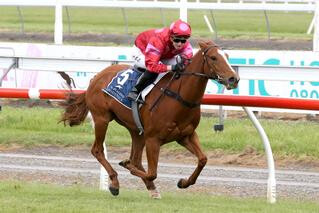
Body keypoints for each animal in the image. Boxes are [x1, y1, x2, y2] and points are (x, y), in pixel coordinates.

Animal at [60, 40, 240, 199]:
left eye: (228, 56)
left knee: (136, 159)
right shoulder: (153, 138)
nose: (234, 79)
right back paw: (115, 183)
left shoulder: (185, 135)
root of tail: (96, 77)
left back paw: (151, 188)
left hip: (136, 130)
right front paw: (127, 166)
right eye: (214, 58)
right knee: (97, 150)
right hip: (101, 118)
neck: (179, 97)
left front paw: (183, 182)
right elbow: (152, 172)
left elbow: (203, 159)